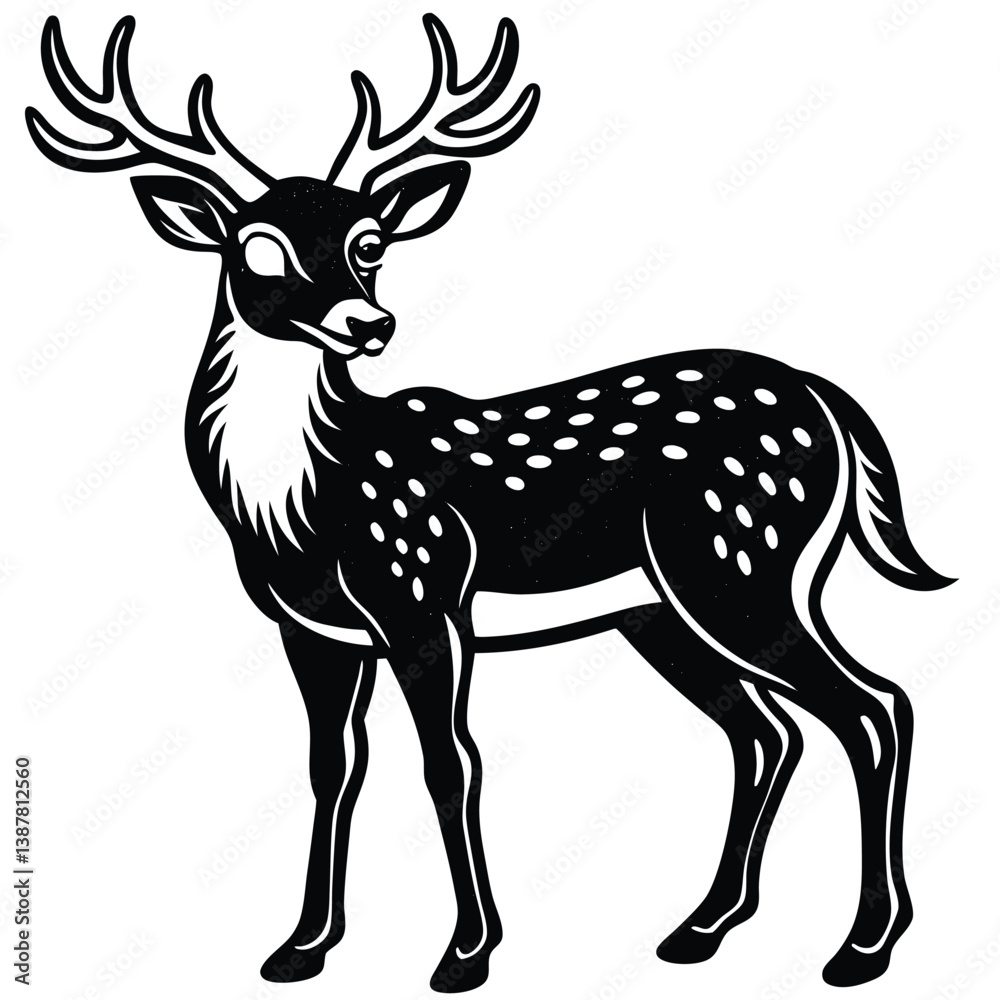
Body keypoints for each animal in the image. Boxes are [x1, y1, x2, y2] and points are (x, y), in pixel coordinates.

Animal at [27, 12, 953, 992]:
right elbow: (330, 767)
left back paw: (864, 944)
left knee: (874, 706)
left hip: (741, 560)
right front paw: (302, 946)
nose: (369, 325)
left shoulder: (421, 591)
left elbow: (450, 763)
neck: (299, 506)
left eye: (369, 242)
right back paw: (703, 927)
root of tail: (828, 400)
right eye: (258, 248)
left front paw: (466, 952)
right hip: (662, 608)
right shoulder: (310, 628)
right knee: (769, 732)